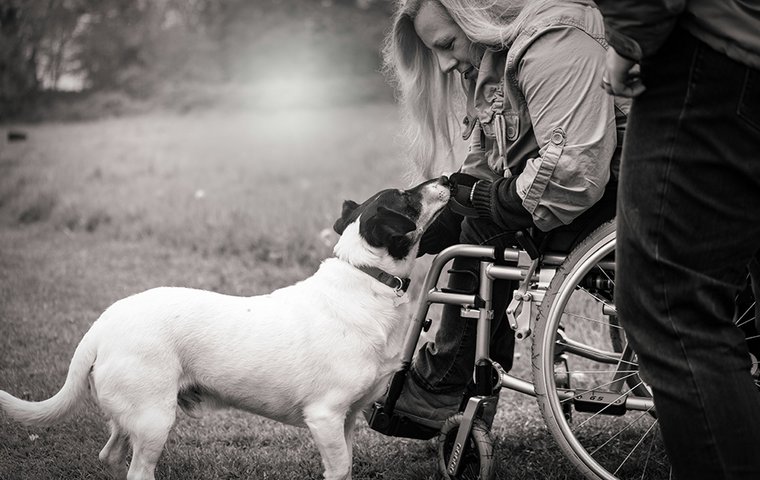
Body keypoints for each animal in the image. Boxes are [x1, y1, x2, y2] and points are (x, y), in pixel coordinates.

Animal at [0, 176, 452, 480]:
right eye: (407, 197)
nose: (448, 178)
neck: (365, 278)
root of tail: (101, 326)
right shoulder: (325, 417)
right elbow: (339, 469)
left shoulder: (348, 419)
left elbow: (347, 465)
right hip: (154, 418)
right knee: (137, 470)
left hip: (132, 416)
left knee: (109, 455)